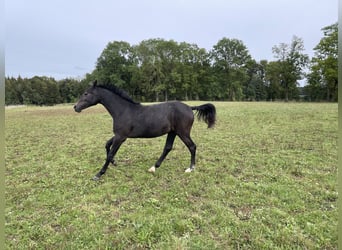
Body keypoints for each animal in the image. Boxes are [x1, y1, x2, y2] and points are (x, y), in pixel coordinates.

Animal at [74, 81, 216, 181]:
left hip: (183, 132)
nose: (75, 107)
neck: (123, 110)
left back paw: (190, 168)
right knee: (168, 148)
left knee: (192, 146)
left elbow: (110, 154)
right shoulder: (119, 135)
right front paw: (114, 162)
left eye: (86, 93)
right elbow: (107, 145)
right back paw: (153, 168)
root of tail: (190, 107)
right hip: (173, 132)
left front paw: (98, 174)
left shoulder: (121, 137)